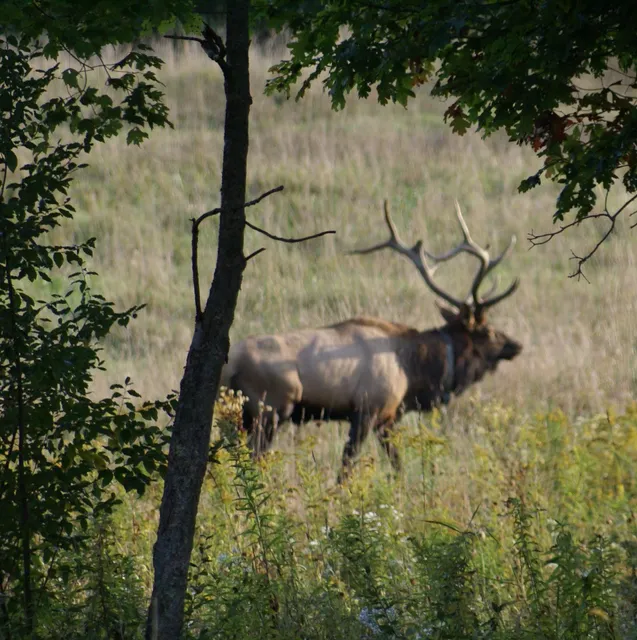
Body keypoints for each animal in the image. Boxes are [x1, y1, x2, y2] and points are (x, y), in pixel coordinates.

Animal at [221, 201, 522, 476]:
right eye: (488, 331)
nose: (515, 345)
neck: (413, 372)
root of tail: (231, 365)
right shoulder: (367, 410)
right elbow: (347, 468)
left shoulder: (386, 419)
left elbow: (398, 466)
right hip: (270, 410)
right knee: (253, 460)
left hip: (236, 416)